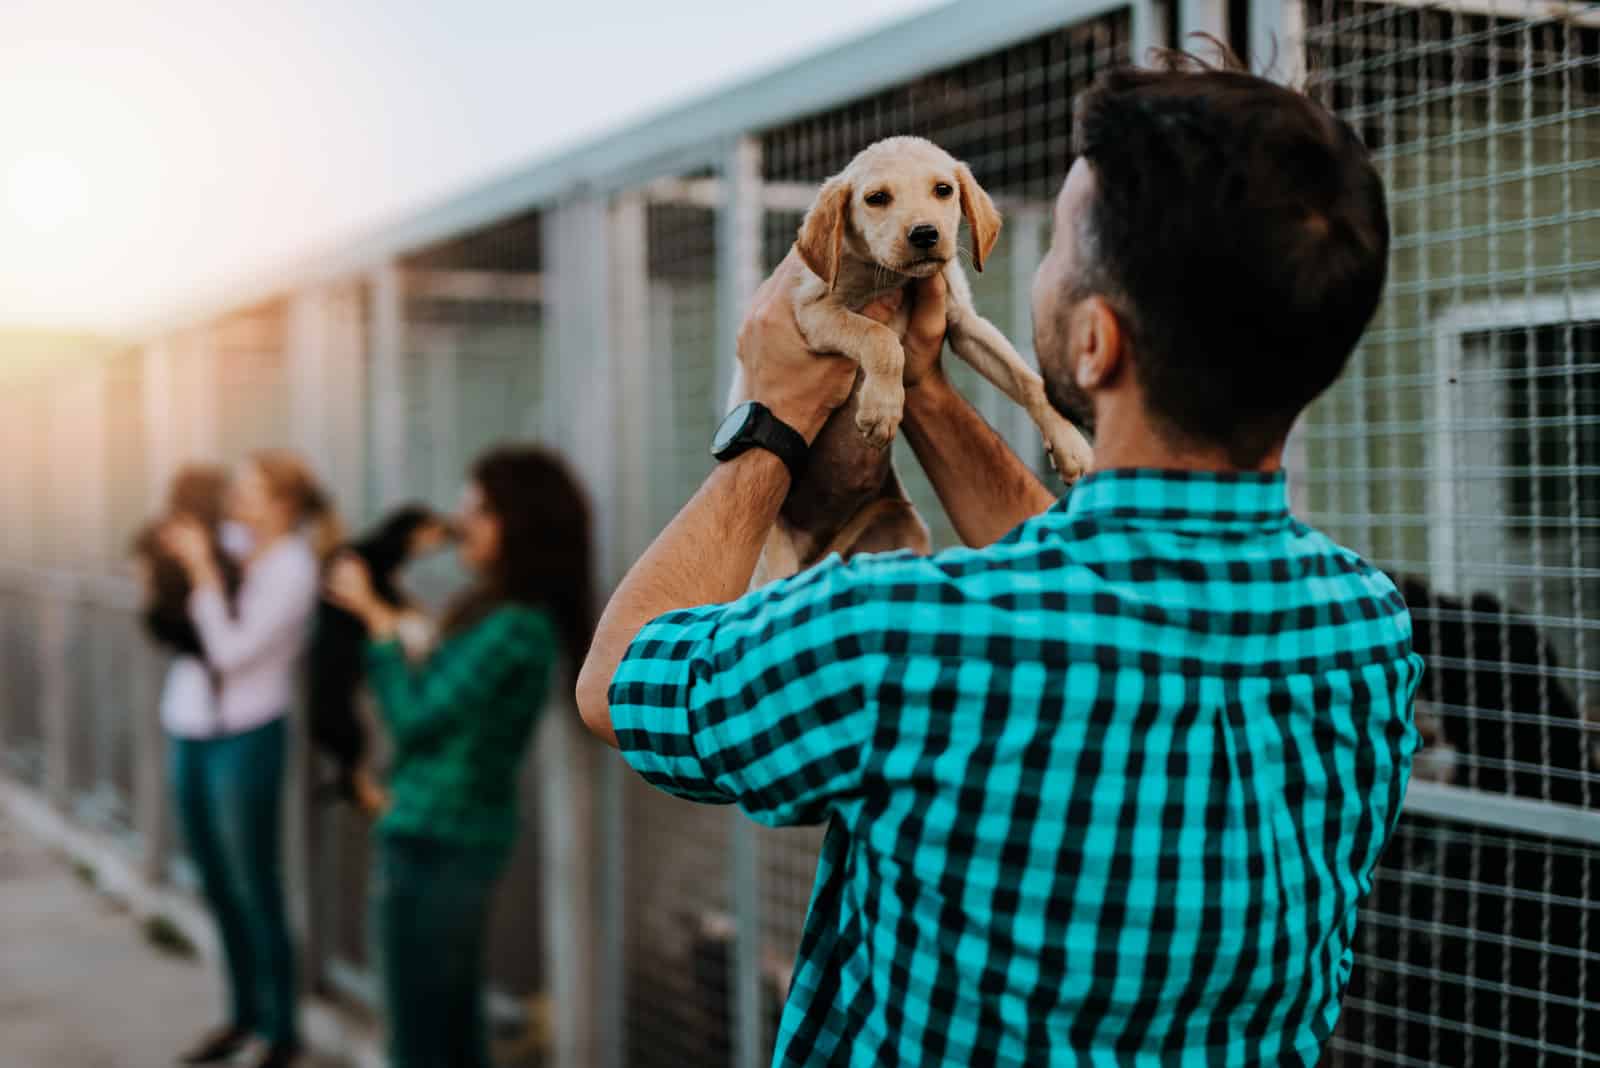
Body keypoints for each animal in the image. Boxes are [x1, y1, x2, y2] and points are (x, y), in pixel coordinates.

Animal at [732, 135, 1094, 585]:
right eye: (876, 198)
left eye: (943, 190)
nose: (925, 234)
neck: (893, 277)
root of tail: (818, 555)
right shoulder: (814, 311)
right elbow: (882, 338)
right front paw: (882, 407)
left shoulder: (964, 321)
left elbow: (1027, 379)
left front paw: (1069, 443)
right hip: (773, 559)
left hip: (900, 528)